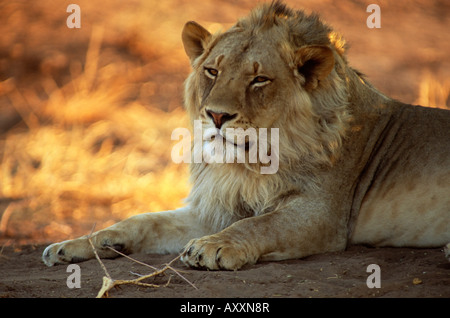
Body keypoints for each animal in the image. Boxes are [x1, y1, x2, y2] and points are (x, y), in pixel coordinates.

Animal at [41, 1, 446, 270]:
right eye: (212, 71)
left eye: (259, 79)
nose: (217, 115)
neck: (247, 164)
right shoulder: (220, 206)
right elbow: (146, 219)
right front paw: (80, 243)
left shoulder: (321, 214)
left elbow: (261, 223)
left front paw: (212, 249)